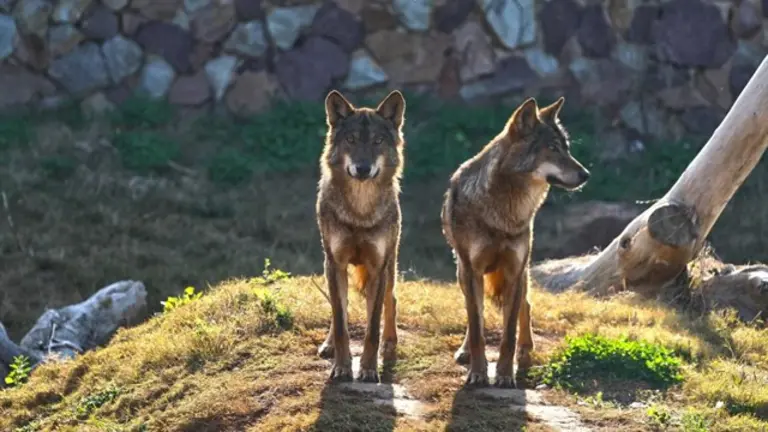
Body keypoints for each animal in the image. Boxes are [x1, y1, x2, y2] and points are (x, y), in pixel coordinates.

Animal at [315, 89, 406, 383]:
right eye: (351, 140)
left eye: (377, 141)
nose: (363, 168)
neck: (360, 211)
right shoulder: (335, 264)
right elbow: (341, 322)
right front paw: (342, 367)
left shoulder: (378, 267)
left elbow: (372, 327)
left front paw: (368, 369)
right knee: (338, 309)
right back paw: (328, 345)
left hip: (390, 268)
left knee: (391, 299)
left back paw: (390, 342)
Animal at [440, 97, 590, 388]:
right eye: (552, 148)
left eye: (566, 148)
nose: (586, 174)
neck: (505, 215)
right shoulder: (472, 270)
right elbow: (477, 328)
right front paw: (478, 373)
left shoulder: (515, 270)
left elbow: (508, 333)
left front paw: (505, 374)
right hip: (463, 275)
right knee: (476, 314)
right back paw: (465, 351)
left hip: (523, 274)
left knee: (526, 306)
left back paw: (526, 349)